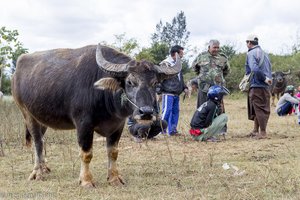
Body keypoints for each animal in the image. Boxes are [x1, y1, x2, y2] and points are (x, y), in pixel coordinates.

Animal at [11, 44, 180, 188]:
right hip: (27, 114)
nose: (146, 112)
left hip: (42, 118)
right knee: (37, 142)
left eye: (155, 84)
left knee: (41, 139)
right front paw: (86, 181)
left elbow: (113, 152)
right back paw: (37, 172)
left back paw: (44, 167)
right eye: (130, 82)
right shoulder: (83, 124)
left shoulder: (117, 125)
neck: (104, 95)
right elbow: (86, 154)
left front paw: (114, 178)